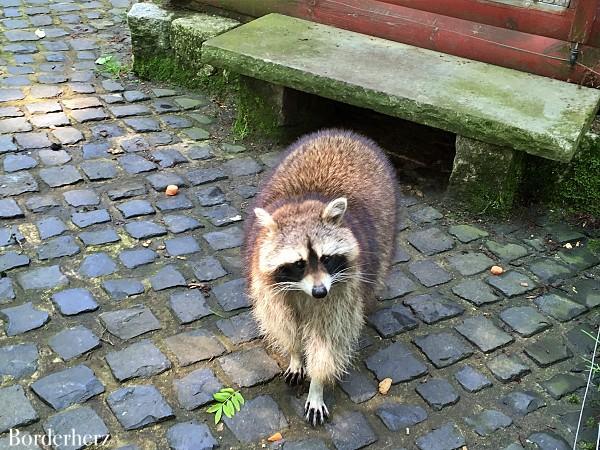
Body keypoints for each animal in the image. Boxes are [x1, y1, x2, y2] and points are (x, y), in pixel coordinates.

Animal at [244, 129, 398, 426]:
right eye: (298, 264)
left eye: (326, 258)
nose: (319, 292)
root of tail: (342, 132)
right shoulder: (270, 286)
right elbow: (284, 324)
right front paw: (295, 355)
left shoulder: (343, 290)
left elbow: (328, 340)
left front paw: (317, 386)